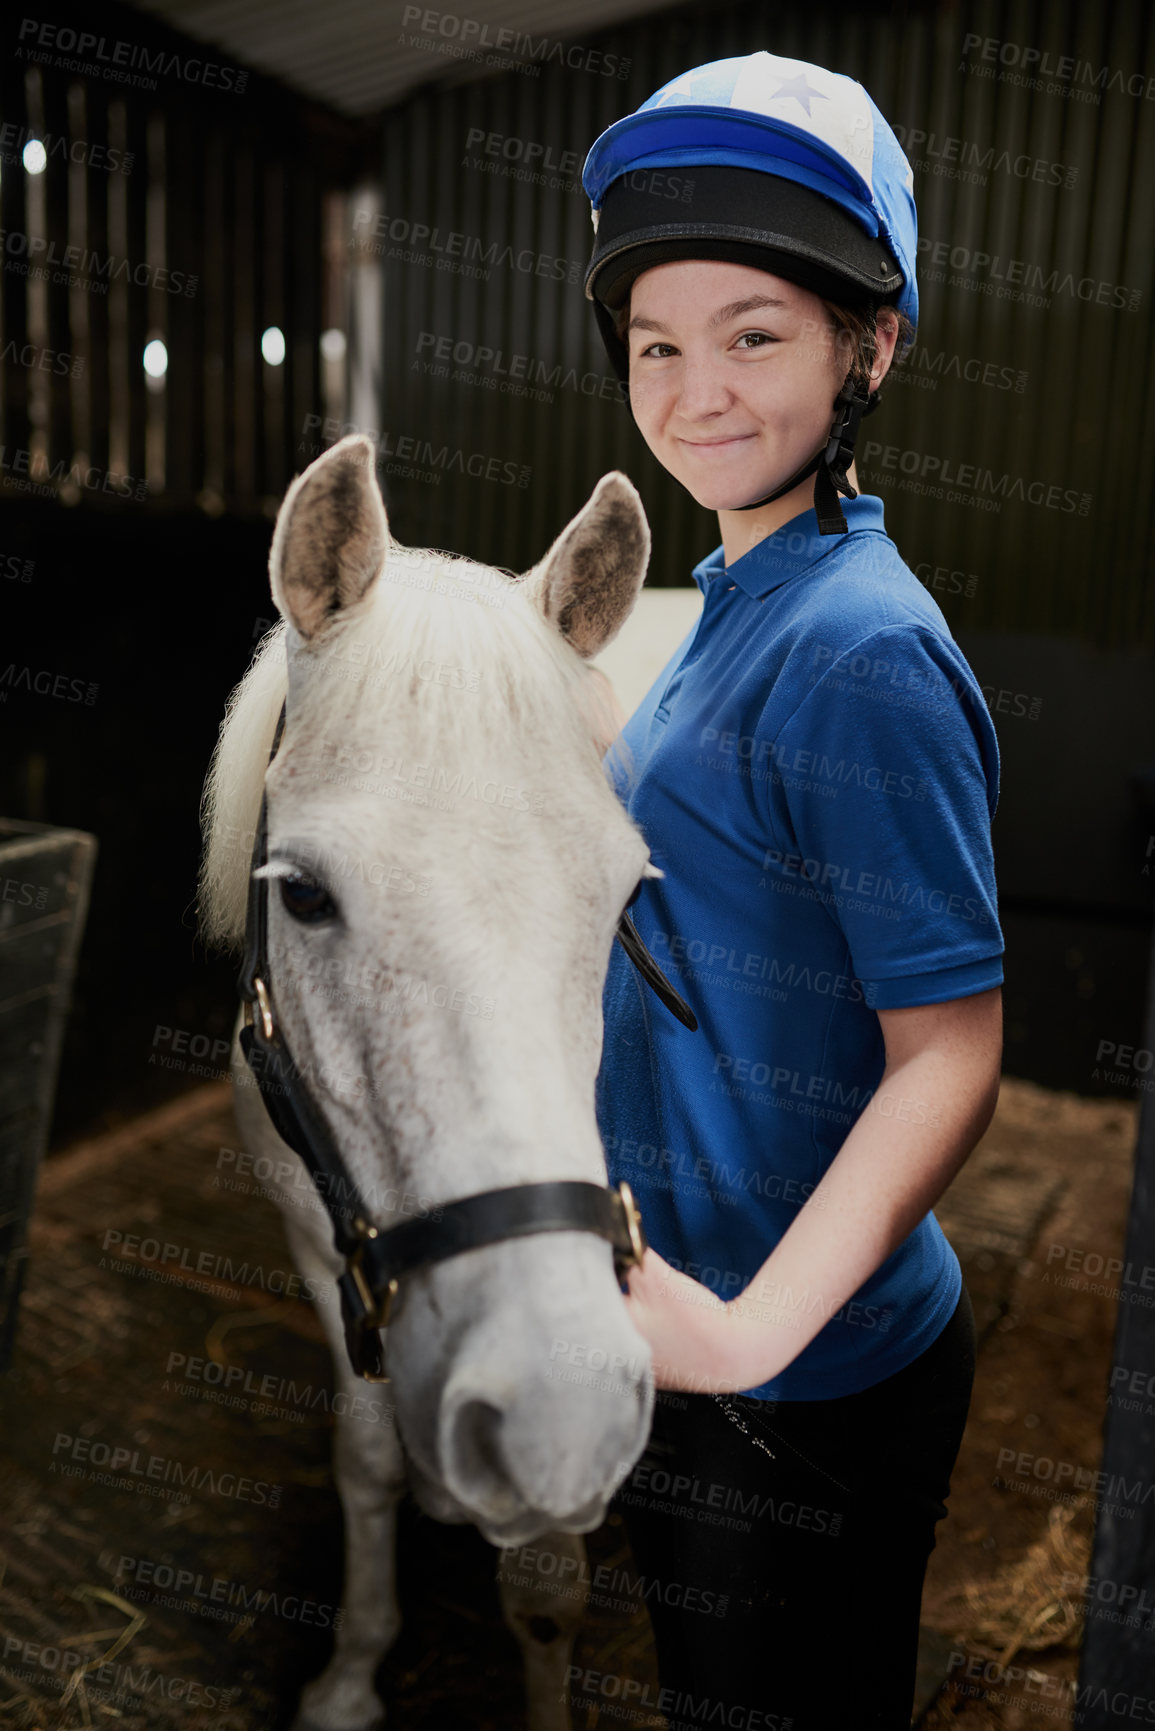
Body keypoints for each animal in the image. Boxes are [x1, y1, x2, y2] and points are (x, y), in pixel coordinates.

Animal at [199, 439, 658, 1731]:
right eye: (302, 893)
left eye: (626, 898)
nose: (554, 1410)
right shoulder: (324, 1248)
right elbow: (365, 1461)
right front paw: (351, 1674)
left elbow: (544, 1580)